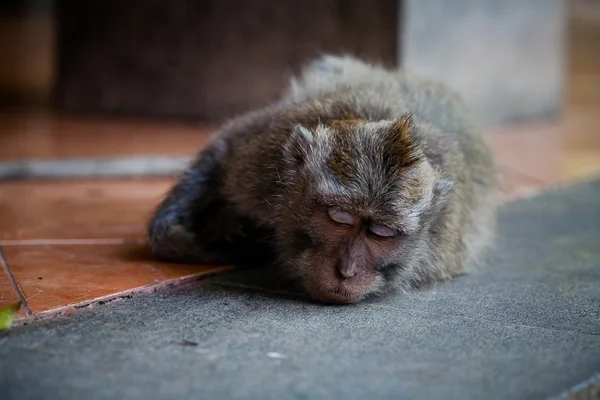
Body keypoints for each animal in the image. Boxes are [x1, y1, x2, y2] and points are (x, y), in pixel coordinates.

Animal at [148, 53, 500, 304]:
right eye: (339, 217)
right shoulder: (261, 159)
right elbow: (224, 150)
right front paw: (179, 240)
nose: (346, 271)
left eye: (382, 232)